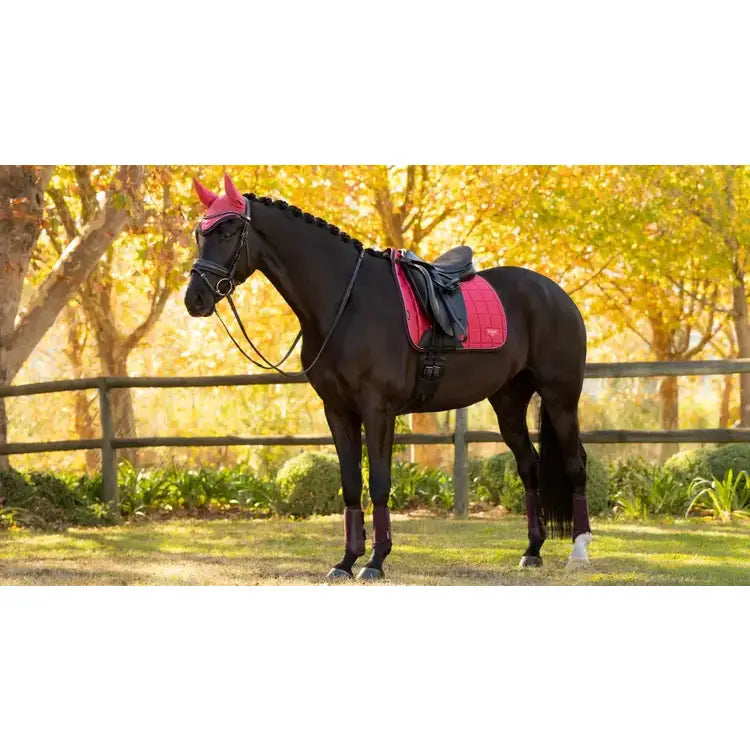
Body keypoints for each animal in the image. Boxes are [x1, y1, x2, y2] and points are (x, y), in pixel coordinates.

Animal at [184, 173, 592, 581]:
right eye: (199, 234)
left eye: (229, 231)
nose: (195, 299)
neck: (346, 303)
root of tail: (556, 294)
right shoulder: (337, 411)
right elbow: (351, 485)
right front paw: (346, 561)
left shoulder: (377, 409)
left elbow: (379, 483)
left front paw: (375, 561)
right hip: (508, 403)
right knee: (529, 467)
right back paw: (532, 550)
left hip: (560, 397)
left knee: (576, 462)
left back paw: (579, 550)